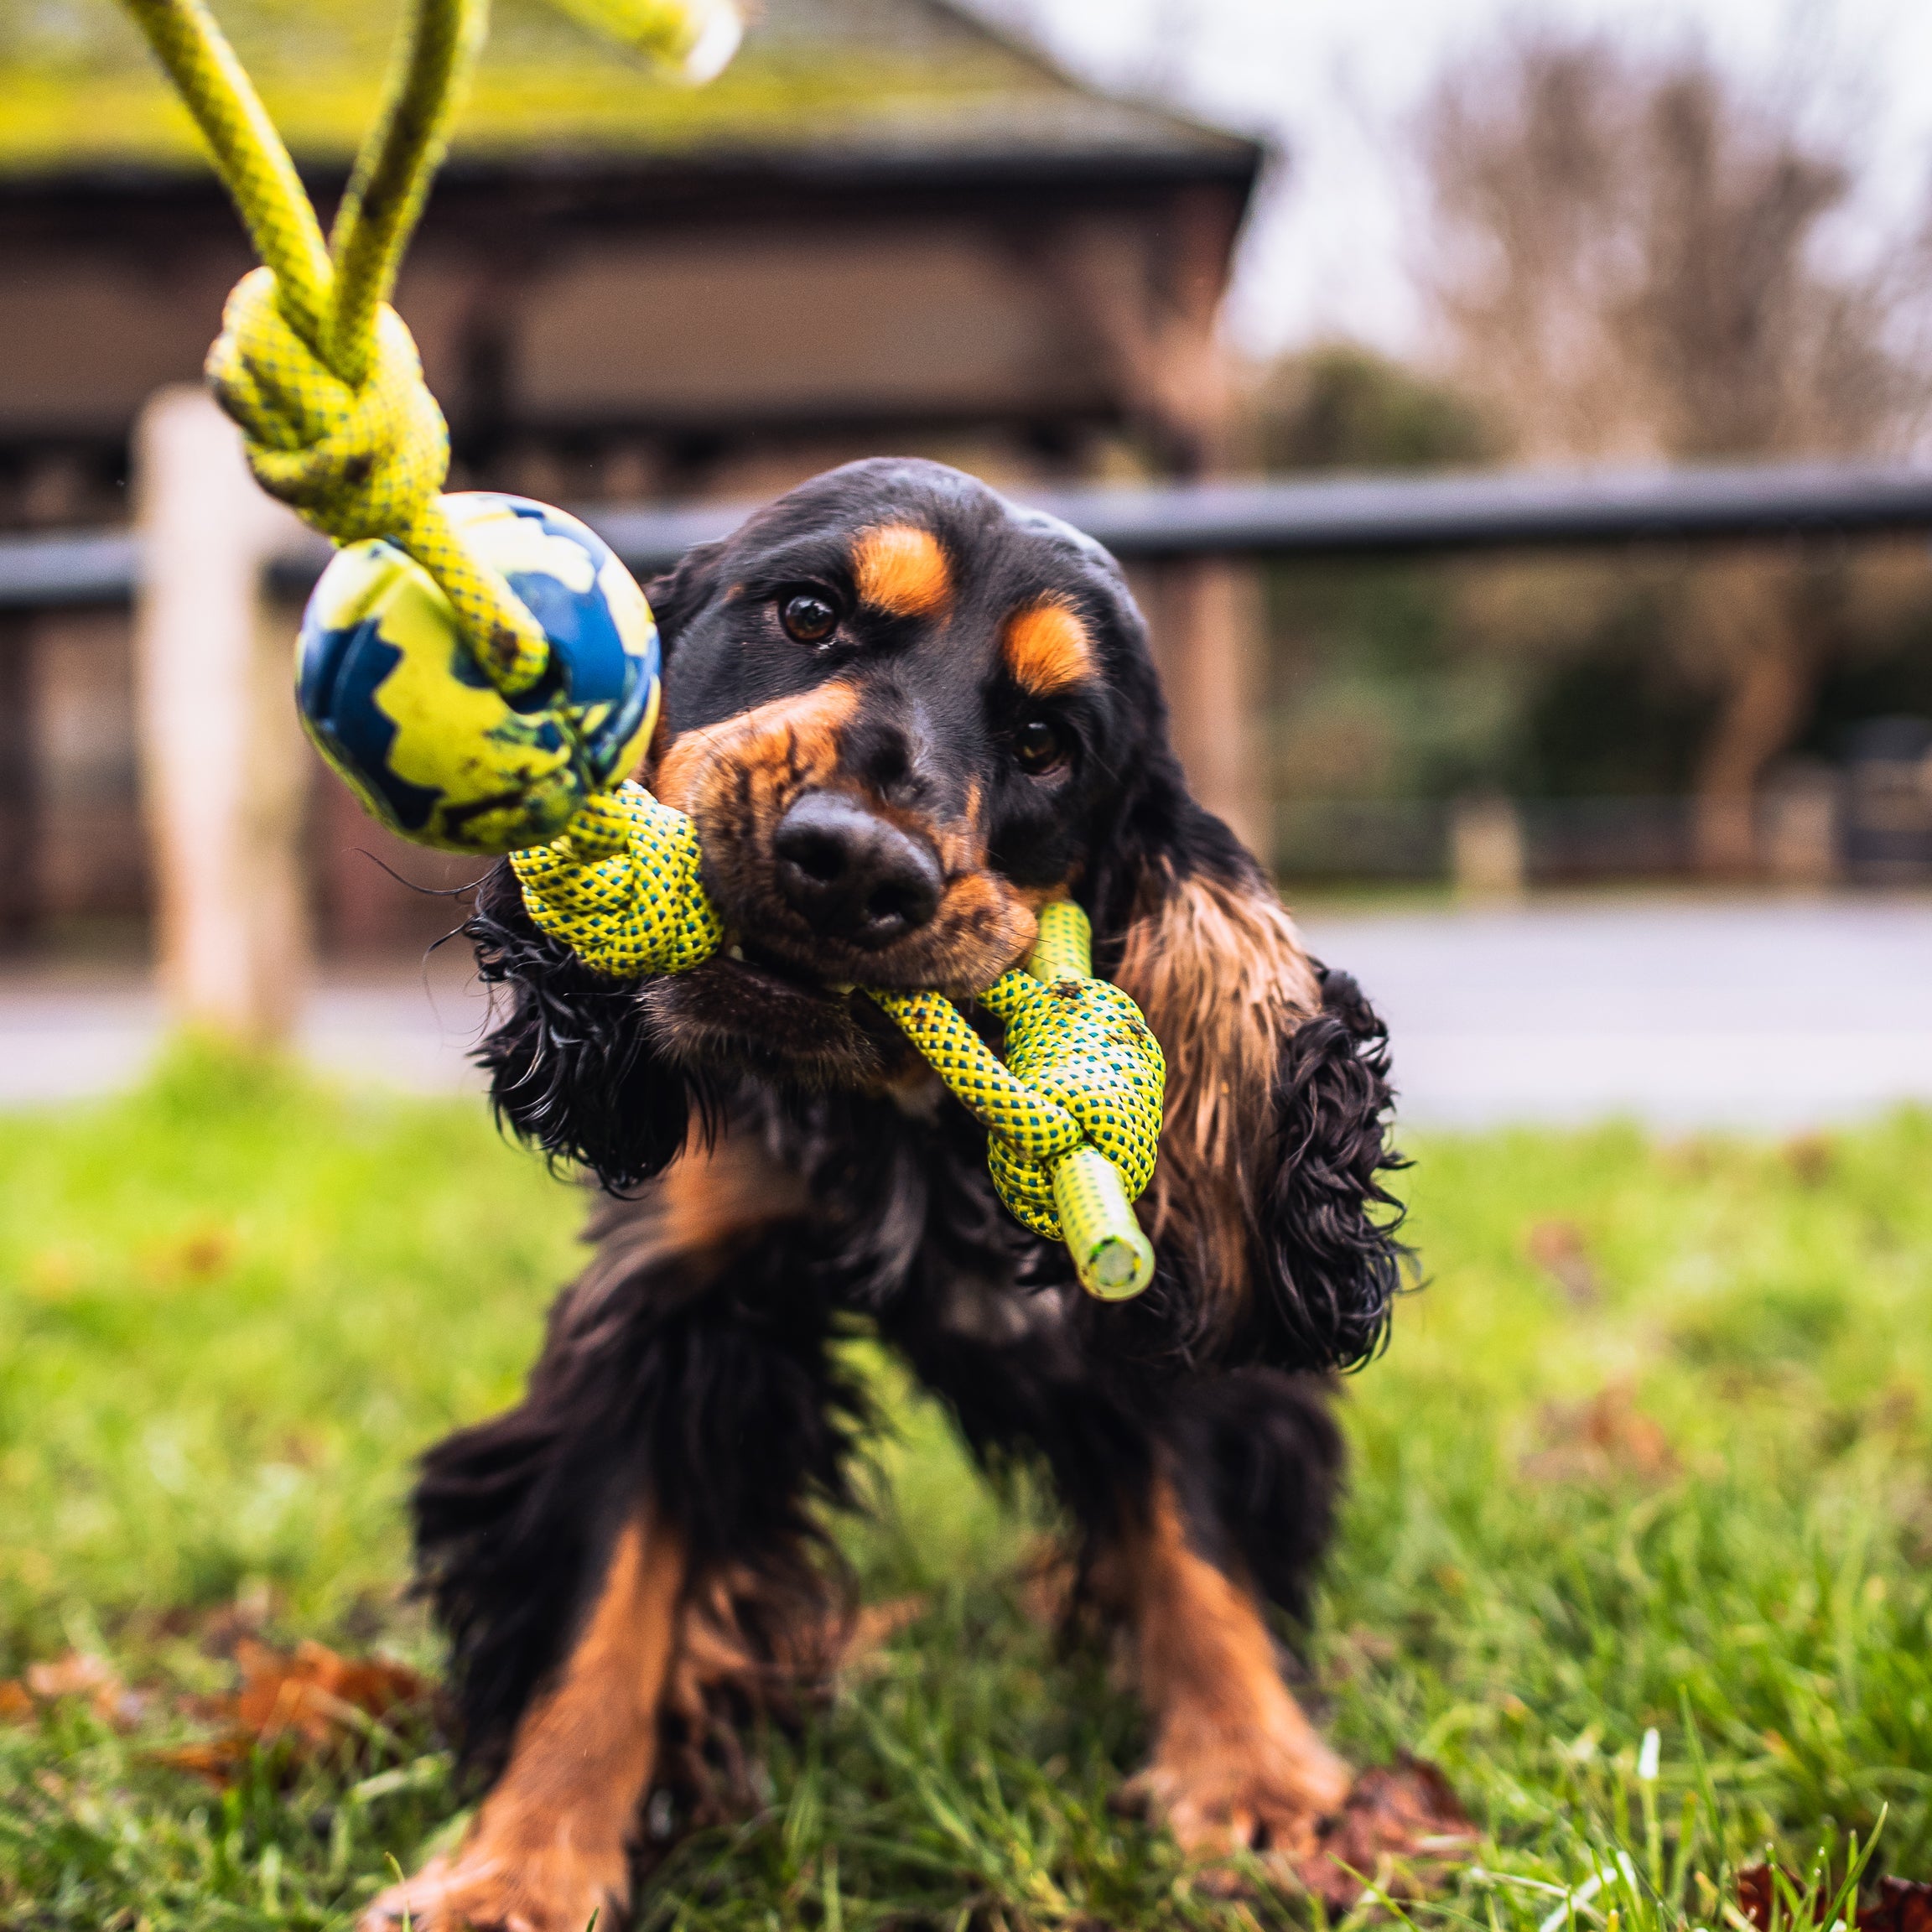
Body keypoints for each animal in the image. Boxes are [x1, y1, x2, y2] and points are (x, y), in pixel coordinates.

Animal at [365, 455, 1406, 1932]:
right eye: (808, 615)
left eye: (1047, 743)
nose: (858, 859)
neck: (885, 1118)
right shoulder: (673, 1316)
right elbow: (606, 1590)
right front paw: (517, 1868)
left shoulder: (1145, 1300)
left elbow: (1198, 1537)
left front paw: (1259, 1785)